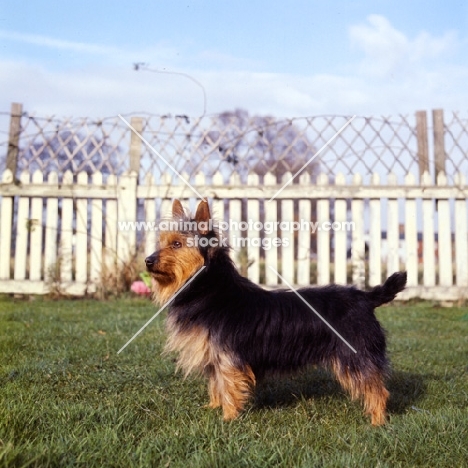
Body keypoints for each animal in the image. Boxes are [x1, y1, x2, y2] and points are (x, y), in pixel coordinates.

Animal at [145, 199, 406, 426]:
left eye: (176, 244)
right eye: (162, 243)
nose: (147, 260)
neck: (207, 288)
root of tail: (365, 297)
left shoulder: (228, 357)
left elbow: (228, 386)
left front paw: (227, 419)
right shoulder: (214, 355)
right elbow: (216, 384)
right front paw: (213, 409)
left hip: (356, 354)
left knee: (377, 389)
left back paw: (377, 422)